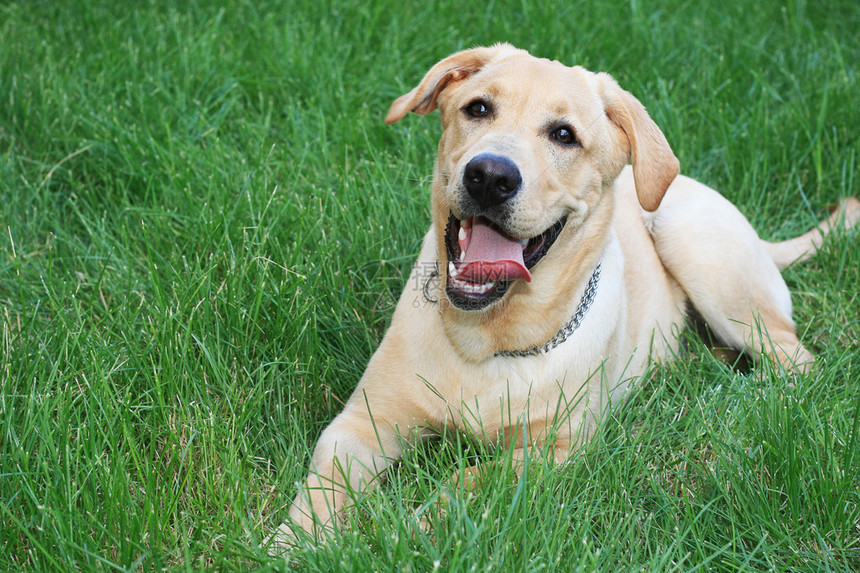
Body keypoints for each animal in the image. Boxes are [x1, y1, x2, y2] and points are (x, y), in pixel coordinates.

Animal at [270, 43, 860, 544]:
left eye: (563, 135)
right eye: (478, 108)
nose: (489, 176)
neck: (486, 342)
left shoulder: (556, 450)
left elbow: (464, 484)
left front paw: (402, 531)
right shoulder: (360, 423)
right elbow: (321, 492)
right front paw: (294, 544)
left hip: (694, 245)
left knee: (795, 358)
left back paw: (747, 394)